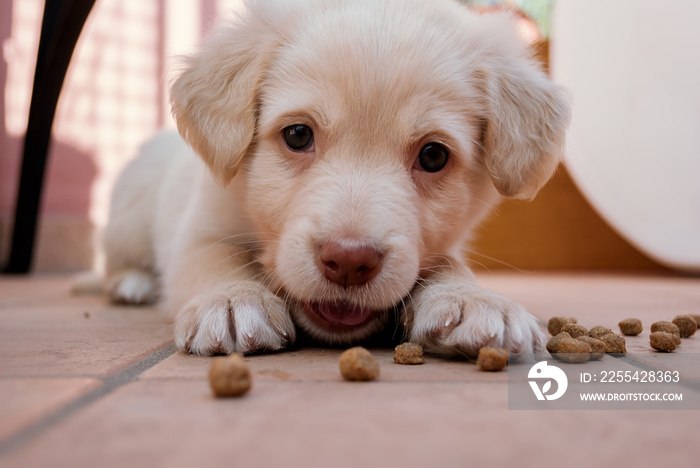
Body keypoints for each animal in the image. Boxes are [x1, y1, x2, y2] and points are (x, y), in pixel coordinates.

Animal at [105, 0, 576, 356]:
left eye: (433, 155)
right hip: (129, 213)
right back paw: (131, 283)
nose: (349, 262)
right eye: (298, 135)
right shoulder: (200, 229)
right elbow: (212, 258)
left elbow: (447, 263)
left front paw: (471, 299)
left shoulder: (446, 244)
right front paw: (231, 300)